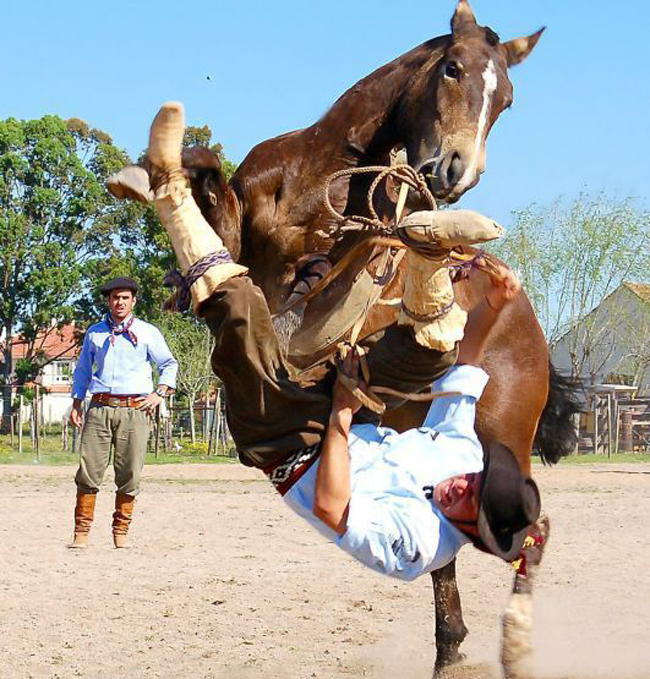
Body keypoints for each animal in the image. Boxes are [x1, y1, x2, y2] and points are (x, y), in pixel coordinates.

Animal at [107, 0, 576, 676]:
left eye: (506, 100)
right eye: (453, 69)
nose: (456, 172)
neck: (317, 179)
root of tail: (533, 335)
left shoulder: (319, 289)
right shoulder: (242, 229)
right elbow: (210, 175)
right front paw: (151, 173)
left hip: (503, 438)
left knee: (509, 532)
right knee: (453, 557)